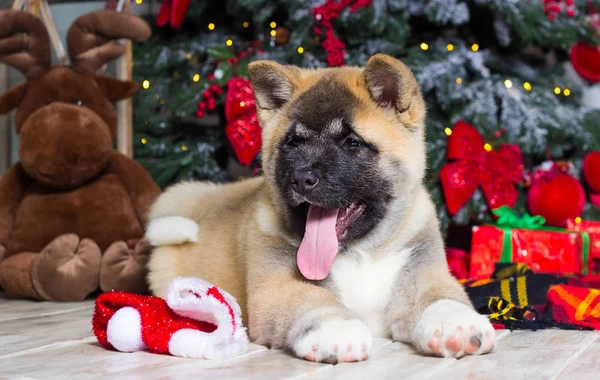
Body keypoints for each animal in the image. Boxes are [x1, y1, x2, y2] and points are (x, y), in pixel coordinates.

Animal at [145, 53, 496, 362]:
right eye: (292, 143)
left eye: (352, 143)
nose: (302, 179)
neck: (361, 253)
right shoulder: (276, 287)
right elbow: (314, 299)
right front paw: (336, 328)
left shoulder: (424, 271)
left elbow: (440, 296)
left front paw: (456, 322)